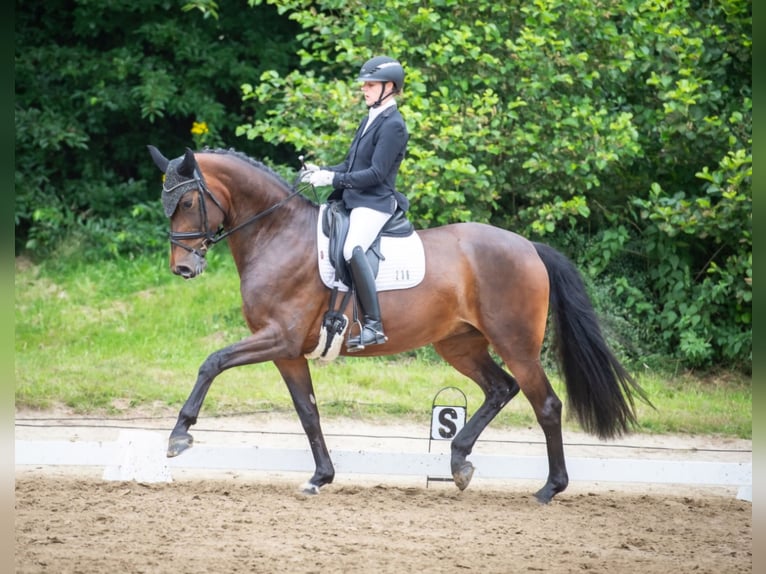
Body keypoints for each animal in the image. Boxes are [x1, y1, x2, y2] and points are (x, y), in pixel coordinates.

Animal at [147, 145, 651, 503]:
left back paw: (549, 488)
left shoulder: (277, 337)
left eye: (188, 201)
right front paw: (320, 477)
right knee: (500, 388)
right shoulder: (289, 352)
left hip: (516, 344)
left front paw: (179, 435)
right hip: (460, 345)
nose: (183, 268)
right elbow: (308, 412)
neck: (278, 235)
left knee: (545, 404)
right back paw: (459, 462)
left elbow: (213, 362)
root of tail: (529, 247)